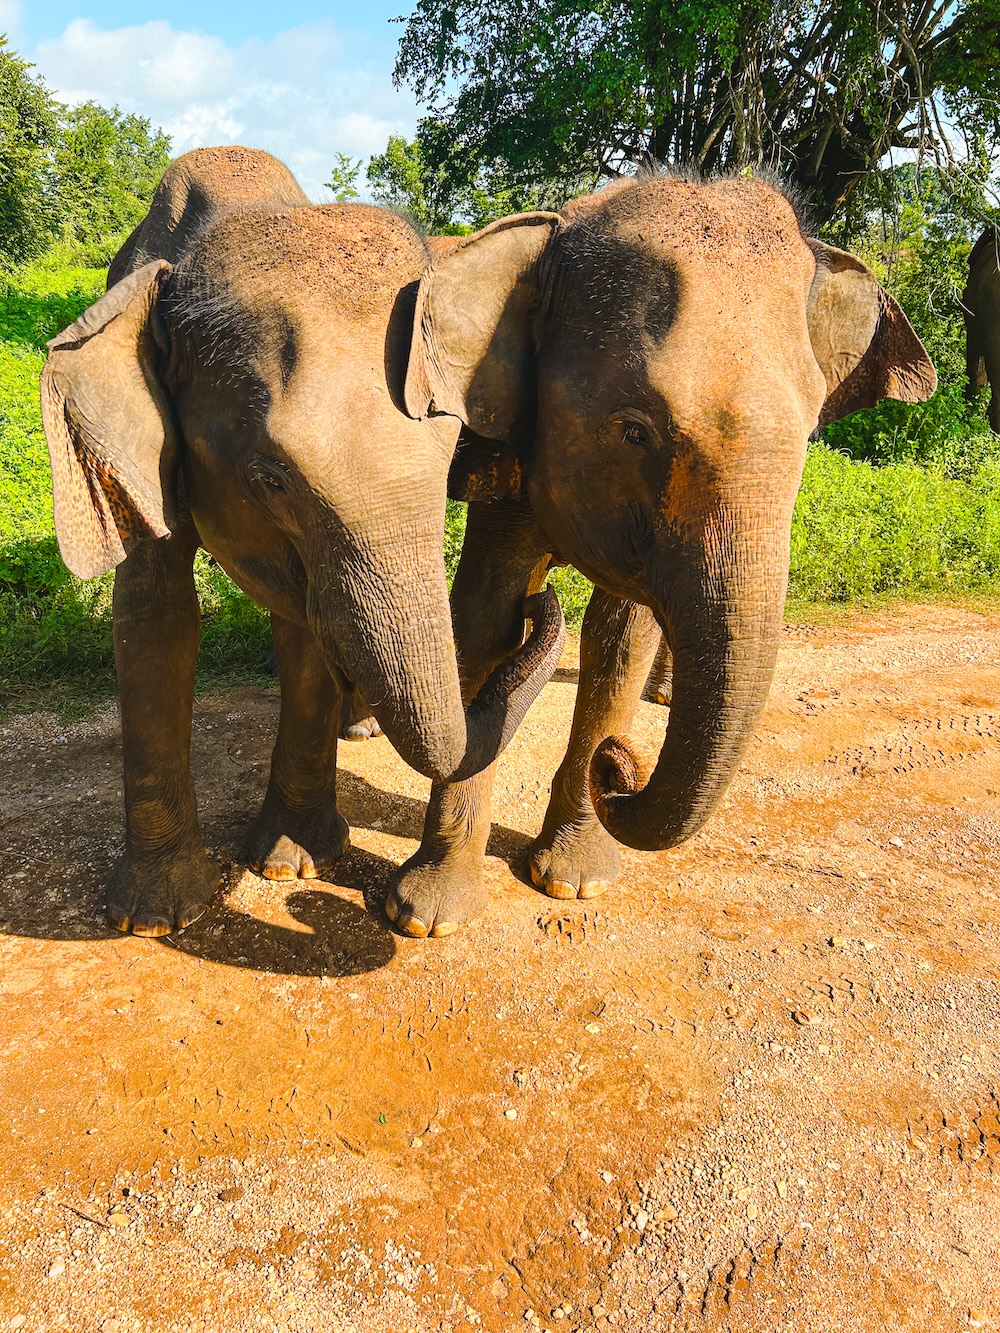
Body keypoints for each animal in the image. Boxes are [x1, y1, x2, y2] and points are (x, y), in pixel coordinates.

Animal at [39, 145, 568, 933]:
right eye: (273, 479)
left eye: (454, 453)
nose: (541, 601)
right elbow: (156, 613)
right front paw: (156, 916)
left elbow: (306, 628)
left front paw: (291, 865)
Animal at [384, 169, 938, 938]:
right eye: (634, 431)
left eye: (809, 431)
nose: (620, 766)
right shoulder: (510, 444)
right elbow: (485, 623)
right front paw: (426, 919)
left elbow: (622, 636)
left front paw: (573, 883)